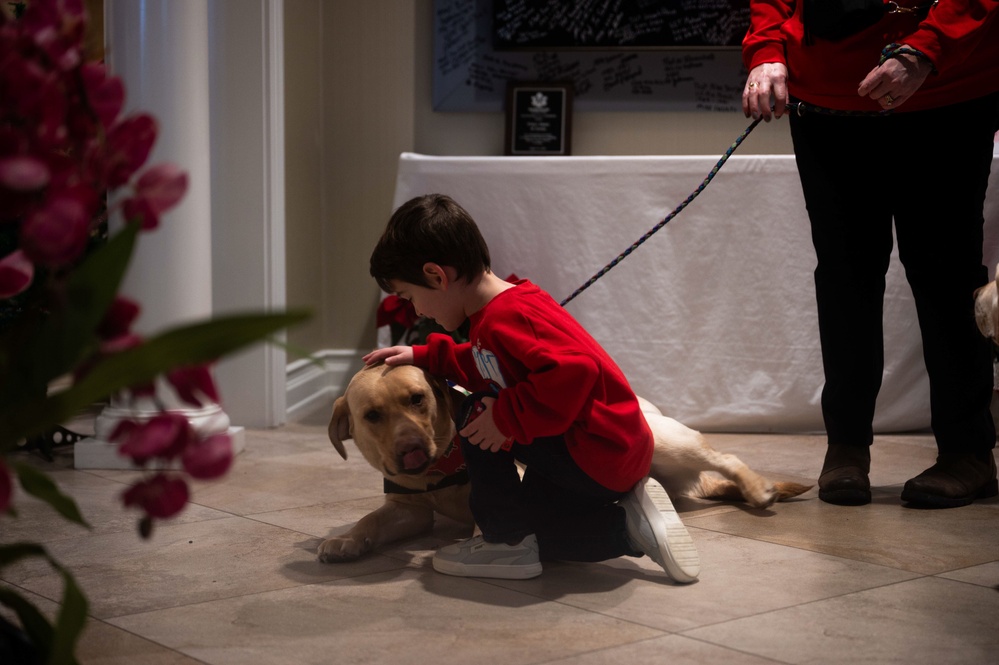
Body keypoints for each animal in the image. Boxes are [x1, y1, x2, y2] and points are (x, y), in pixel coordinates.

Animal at [320, 364, 812, 560]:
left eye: (417, 399)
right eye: (372, 416)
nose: (411, 450)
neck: (440, 469)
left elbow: (493, 515)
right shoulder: (407, 509)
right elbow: (369, 520)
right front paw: (346, 540)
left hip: (664, 442)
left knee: (726, 457)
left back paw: (757, 487)